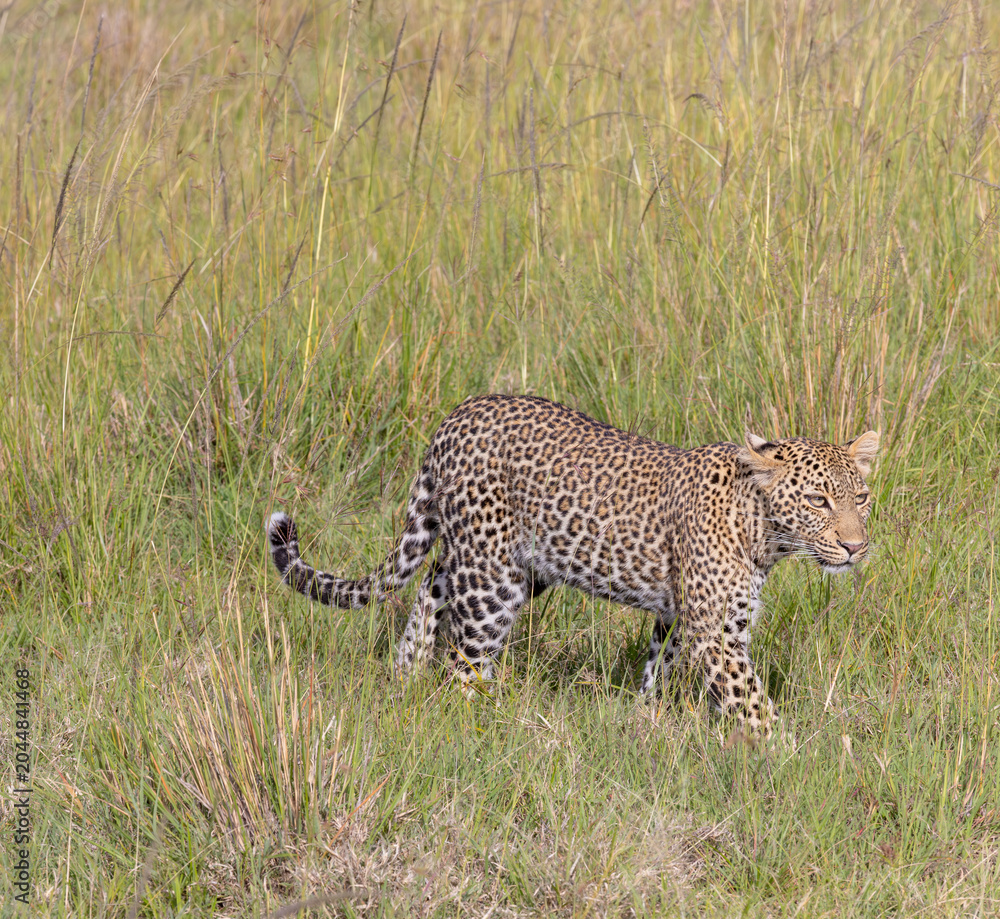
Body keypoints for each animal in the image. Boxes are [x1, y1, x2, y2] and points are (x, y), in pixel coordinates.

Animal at [267, 394, 878, 738]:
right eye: (819, 501)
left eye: (861, 498)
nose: (856, 547)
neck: (764, 532)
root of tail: (455, 416)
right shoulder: (717, 633)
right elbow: (752, 703)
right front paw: (791, 757)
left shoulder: (679, 618)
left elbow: (658, 669)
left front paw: (643, 721)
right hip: (494, 580)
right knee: (465, 663)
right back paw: (481, 728)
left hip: (491, 559)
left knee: (428, 595)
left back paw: (404, 680)